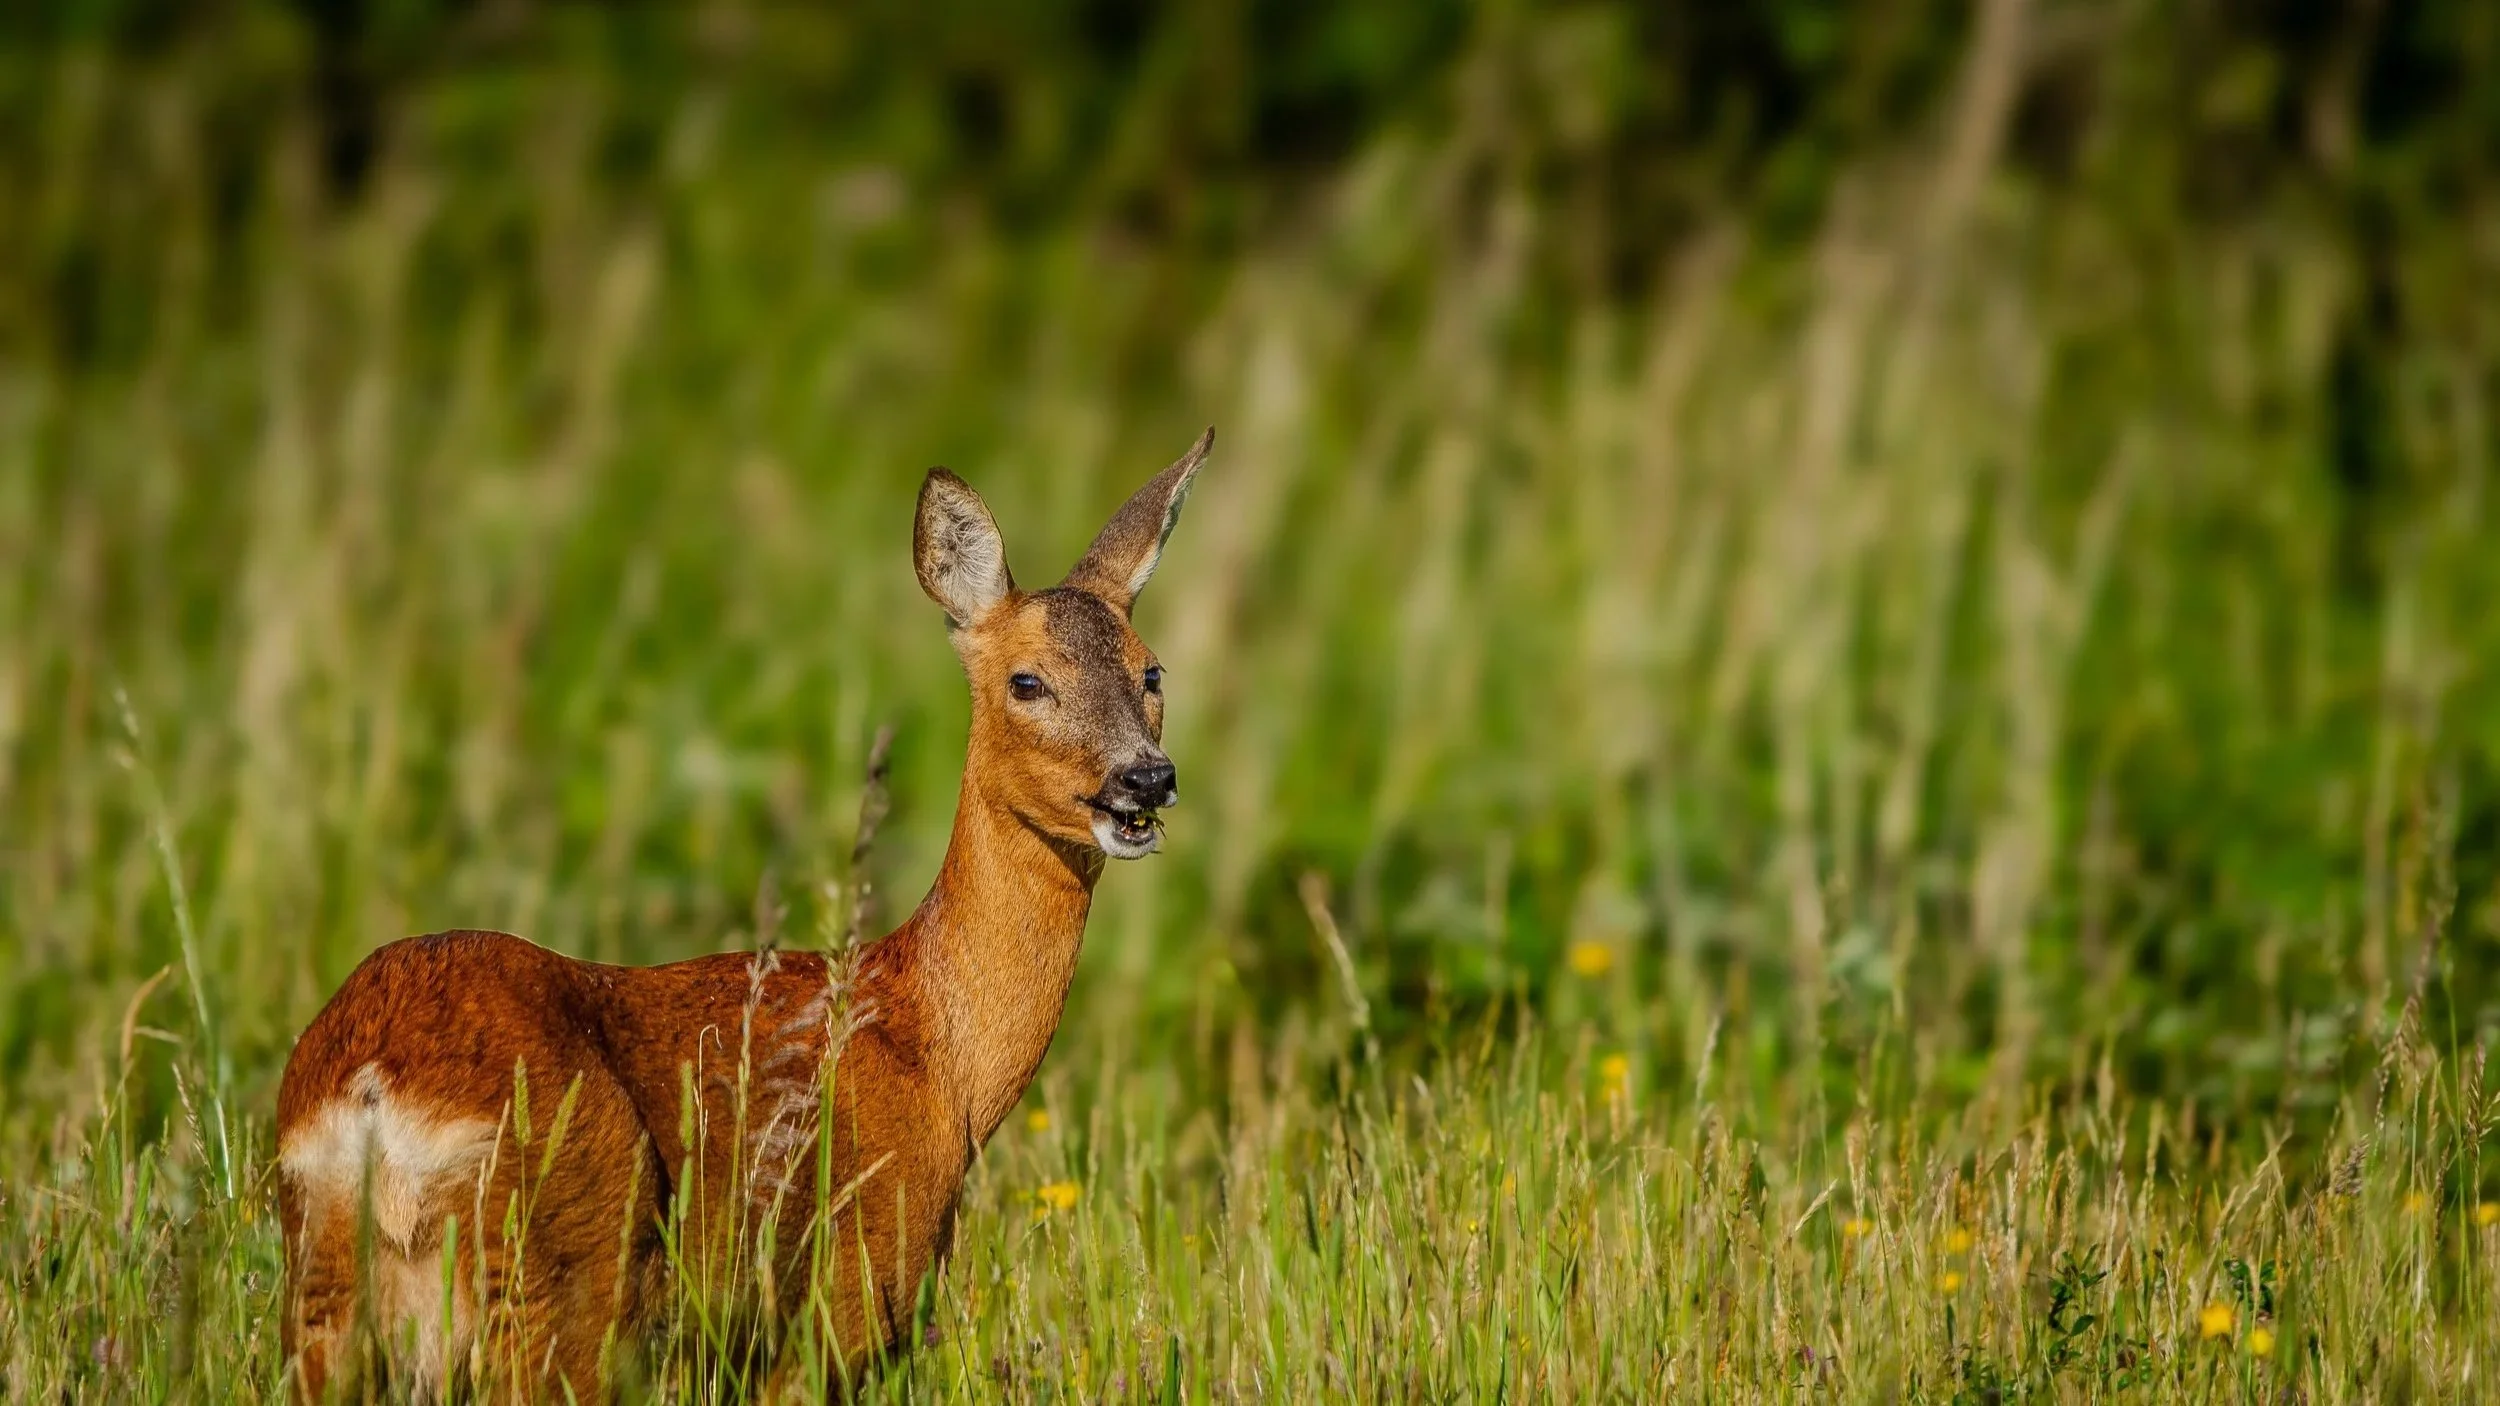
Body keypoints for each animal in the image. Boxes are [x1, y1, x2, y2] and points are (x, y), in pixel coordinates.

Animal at [275, 430, 1212, 1400]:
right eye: (1027, 682)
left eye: (1152, 671)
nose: (1146, 777)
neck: (937, 1052)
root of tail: (374, 1097)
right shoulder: (849, 1293)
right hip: (565, 1267)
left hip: (330, 1305)